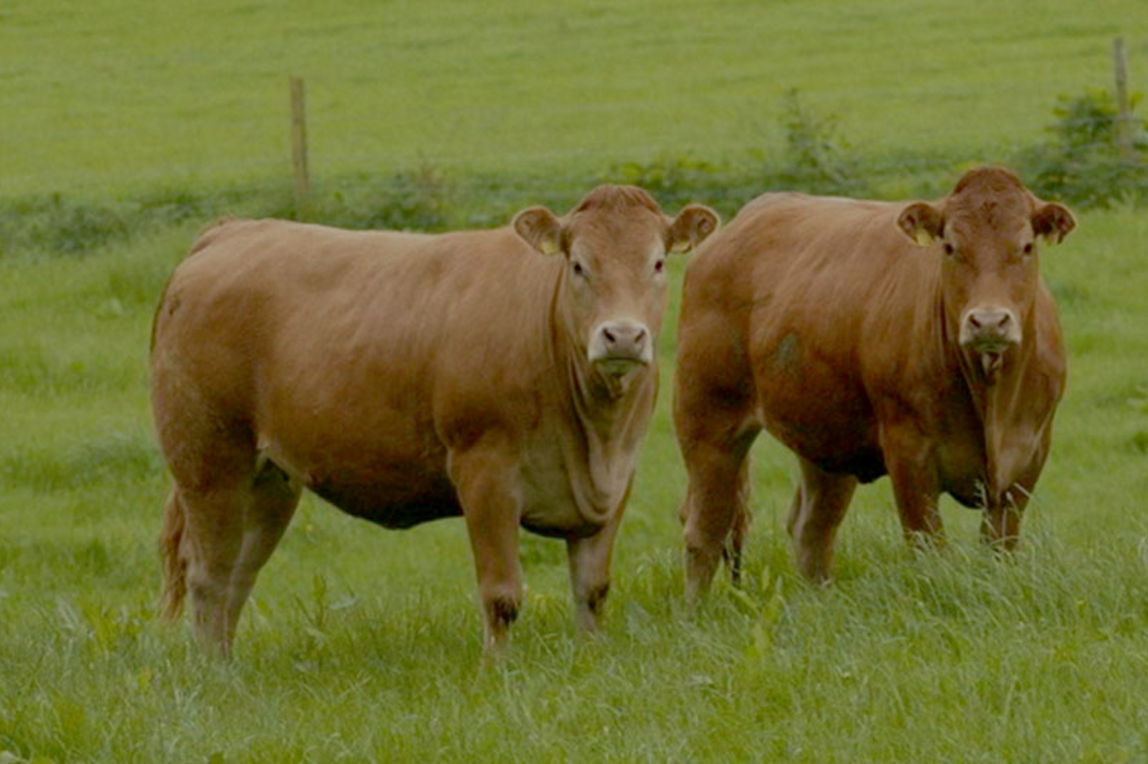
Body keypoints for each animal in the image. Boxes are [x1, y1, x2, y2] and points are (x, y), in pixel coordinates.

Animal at [152, 185, 716, 656]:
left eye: (658, 263)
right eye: (578, 265)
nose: (622, 335)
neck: (594, 435)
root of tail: (231, 231)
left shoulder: (617, 480)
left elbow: (592, 589)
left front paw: (591, 656)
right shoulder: (485, 473)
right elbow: (501, 594)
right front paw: (497, 669)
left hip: (270, 479)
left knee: (237, 575)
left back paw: (228, 668)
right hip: (208, 459)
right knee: (207, 575)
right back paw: (211, 672)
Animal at [675, 166, 1069, 596]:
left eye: (1026, 246)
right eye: (950, 247)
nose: (989, 321)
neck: (990, 394)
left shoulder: (1028, 456)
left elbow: (1000, 549)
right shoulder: (909, 453)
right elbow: (929, 550)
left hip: (825, 436)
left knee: (812, 529)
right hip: (708, 419)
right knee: (704, 532)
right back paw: (692, 609)